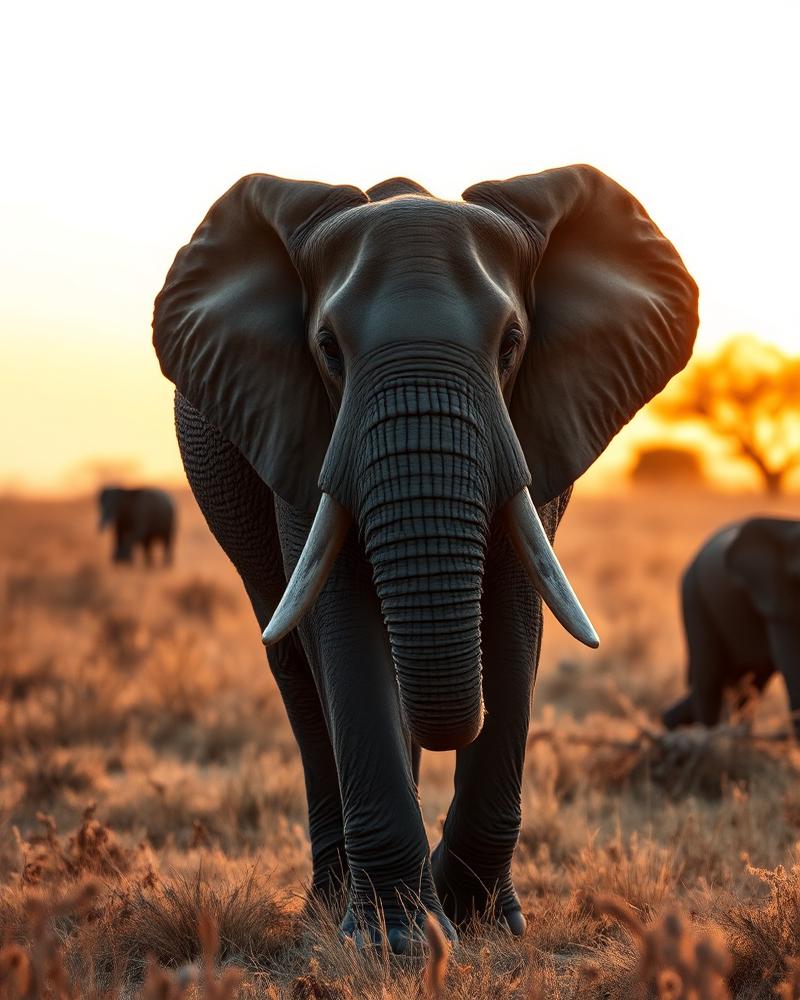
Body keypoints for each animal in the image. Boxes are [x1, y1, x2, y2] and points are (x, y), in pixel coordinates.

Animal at [152, 166, 698, 951]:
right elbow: (343, 621)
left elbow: (514, 613)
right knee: (293, 665)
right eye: (328, 348)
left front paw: (479, 921)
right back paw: (329, 905)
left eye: (511, 343)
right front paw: (398, 944)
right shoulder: (303, 426)